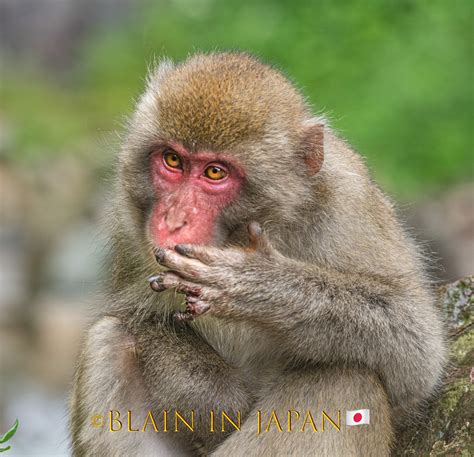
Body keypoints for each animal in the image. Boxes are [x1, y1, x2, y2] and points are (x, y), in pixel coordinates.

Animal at [68, 51, 446, 454]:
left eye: (215, 173)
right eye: (172, 160)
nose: (172, 219)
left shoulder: (349, 200)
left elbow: (415, 348)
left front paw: (253, 286)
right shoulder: (127, 225)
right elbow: (133, 319)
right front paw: (211, 393)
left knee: (342, 378)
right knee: (108, 341)